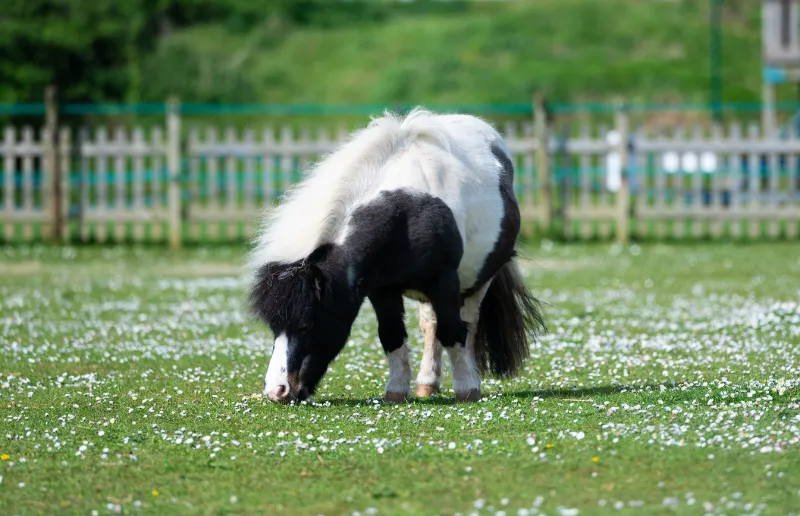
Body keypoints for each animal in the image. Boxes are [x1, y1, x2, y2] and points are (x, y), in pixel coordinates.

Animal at [247, 108, 544, 404]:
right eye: (274, 327)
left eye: (307, 325)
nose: (277, 391)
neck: (405, 210)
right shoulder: (382, 290)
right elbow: (392, 335)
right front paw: (396, 391)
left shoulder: (444, 280)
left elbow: (453, 331)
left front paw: (467, 389)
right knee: (431, 326)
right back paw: (427, 383)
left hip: (479, 280)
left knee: (467, 322)